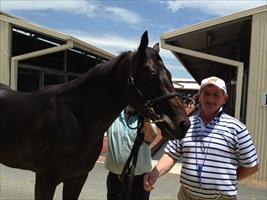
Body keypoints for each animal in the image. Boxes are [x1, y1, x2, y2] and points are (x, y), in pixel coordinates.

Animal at [0, 30, 191, 199]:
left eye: (169, 74)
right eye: (151, 74)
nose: (183, 124)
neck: (75, 119)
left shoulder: (77, 178)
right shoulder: (45, 180)